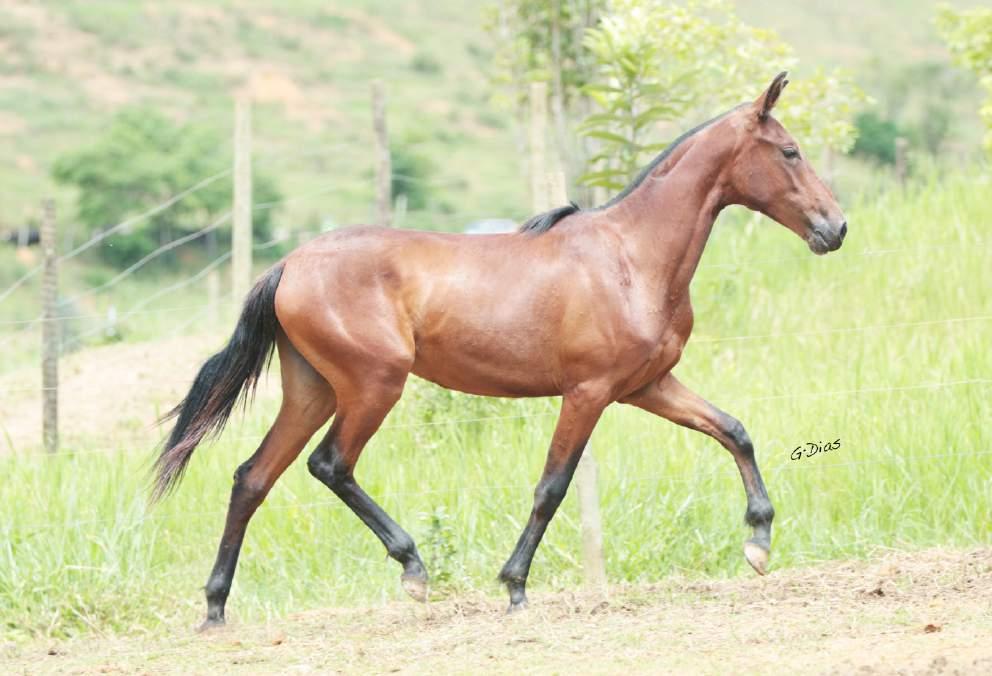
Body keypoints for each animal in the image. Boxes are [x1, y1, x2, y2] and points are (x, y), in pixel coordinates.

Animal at [153, 71, 844, 632]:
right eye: (790, 151)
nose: (836, 228)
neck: (631, 258)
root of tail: (289, 265)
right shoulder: (588, 393)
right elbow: (552, 487)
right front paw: (514, 587)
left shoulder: (647, 386)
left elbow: (734, 430)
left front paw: (759, 540)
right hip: (373, 384)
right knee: (329, 466)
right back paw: (413, 569)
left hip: (313, 390)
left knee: (253, 477)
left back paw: (215, 607)